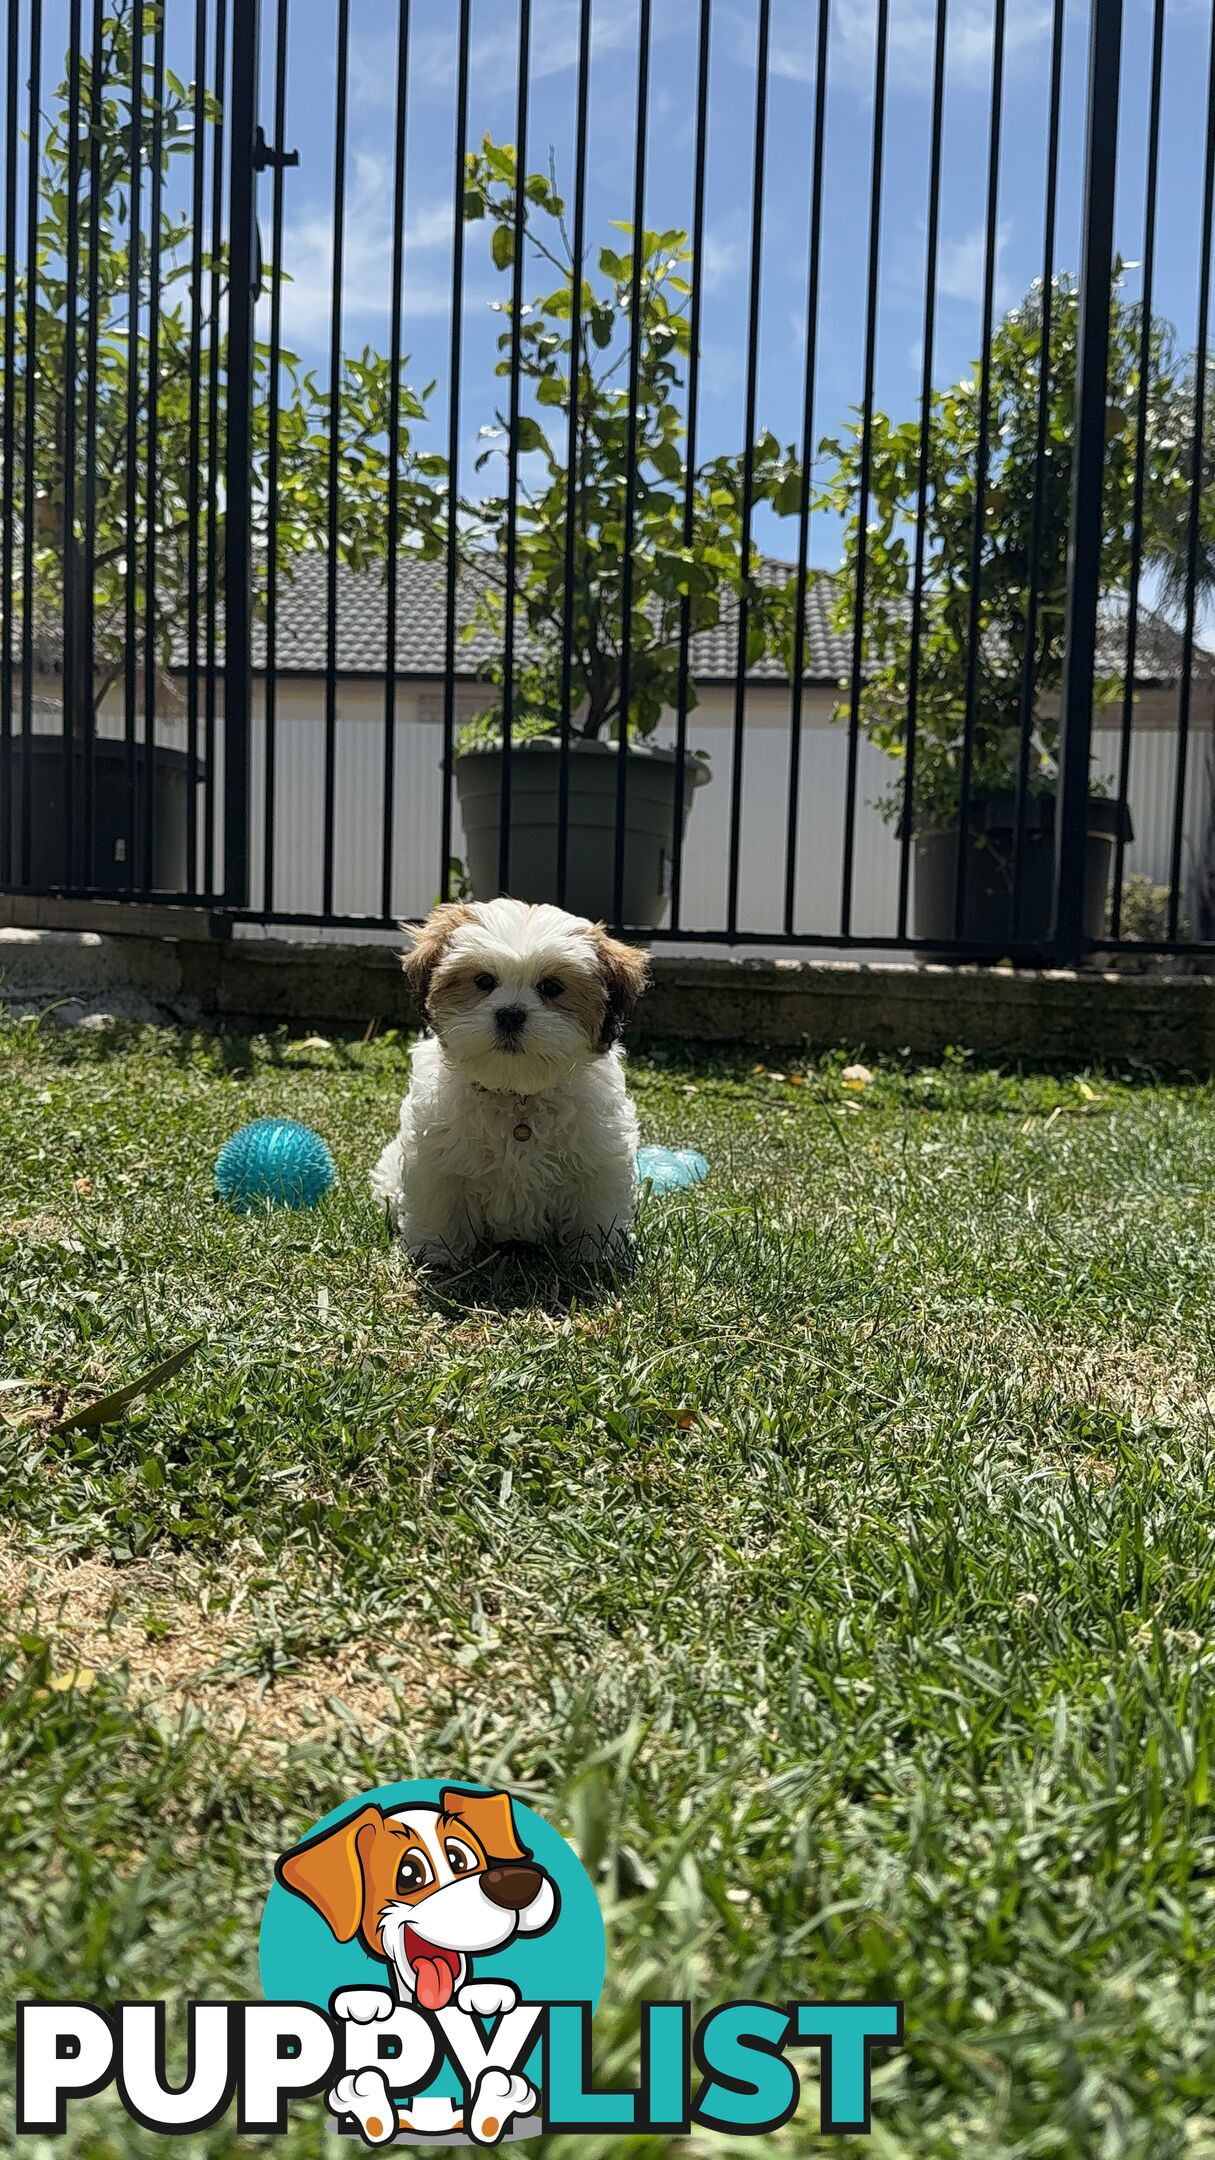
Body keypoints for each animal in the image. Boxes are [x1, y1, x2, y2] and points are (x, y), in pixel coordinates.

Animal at [371, 894, 648, 1261]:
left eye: (551, 987)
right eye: (484, 981)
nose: (510, 1014)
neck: (517, 1094)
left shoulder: (598, 1159)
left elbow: (595, 1207)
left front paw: (594, 1253)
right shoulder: (437, 1157)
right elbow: (439, 1200)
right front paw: (435, 1250)